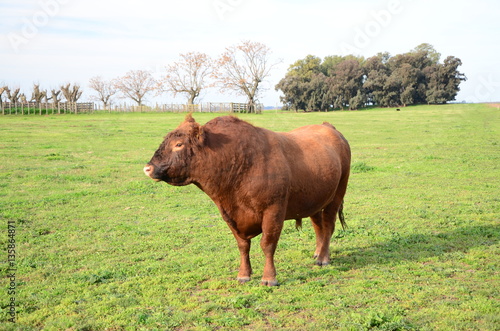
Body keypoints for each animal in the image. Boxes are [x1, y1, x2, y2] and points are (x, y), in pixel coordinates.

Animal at [143, 115, 350, 286]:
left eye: (178, 144)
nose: (148, 168)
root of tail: (328, 127)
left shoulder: (273, 211)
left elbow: (267, 244)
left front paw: (269, 278)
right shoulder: (229, 215)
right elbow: (243, 245)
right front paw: (244, 274)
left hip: (336, 196)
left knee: (328, 226)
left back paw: (323, 258)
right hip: (316, 200)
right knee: (319, 226)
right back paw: (318, 252)